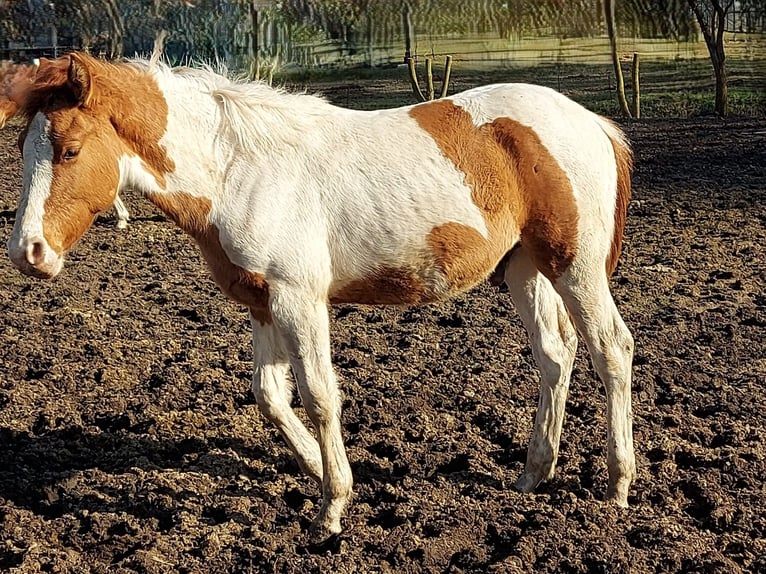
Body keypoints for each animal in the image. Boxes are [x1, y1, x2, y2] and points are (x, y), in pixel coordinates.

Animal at [5, 52, 635, 539]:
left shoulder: (298, 300)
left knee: (612, 350)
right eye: (23, 150)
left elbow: (319, 397)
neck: (241, 170)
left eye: (69, 149)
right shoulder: (262, 303)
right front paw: (315, 469)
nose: (27, 253)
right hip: (525, 268)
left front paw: (331, 508)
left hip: (575, 267)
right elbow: (269, 397)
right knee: (555, 356)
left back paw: (618, 486)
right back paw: (533, 474)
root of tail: (590, 121)